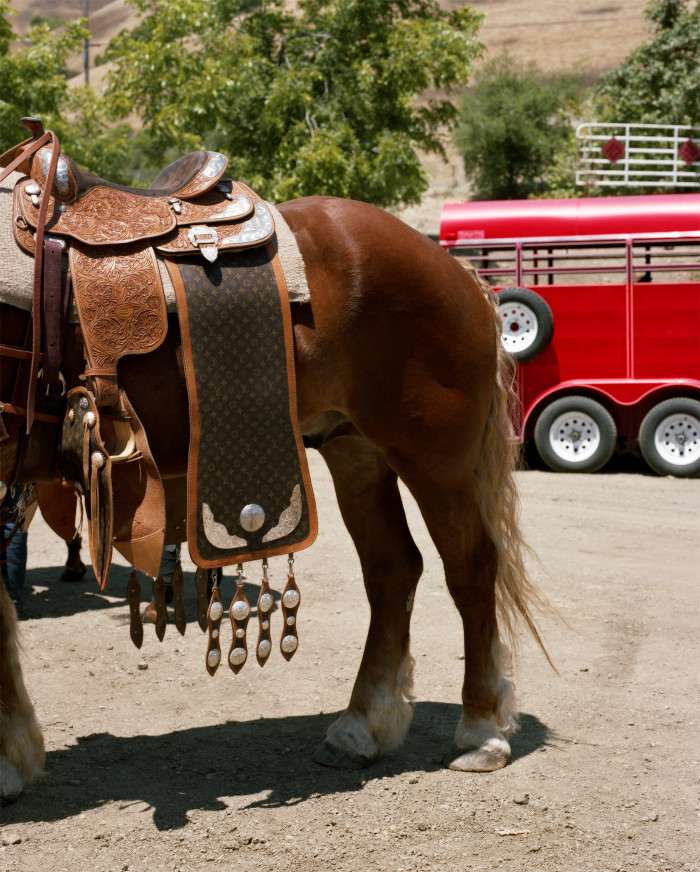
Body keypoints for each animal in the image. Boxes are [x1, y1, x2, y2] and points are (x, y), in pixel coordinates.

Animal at [0, 192, 548, 804]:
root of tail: (460, 274)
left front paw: (7, 763)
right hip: (356, 453)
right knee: (393, 570)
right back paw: (361, 726)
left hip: (435, 462)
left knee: (470, 570)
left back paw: (480, 728)